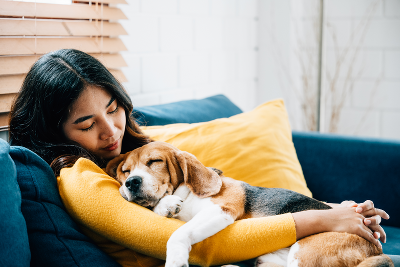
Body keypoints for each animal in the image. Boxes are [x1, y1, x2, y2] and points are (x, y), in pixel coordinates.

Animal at [106, 142, 394, 267]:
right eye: (125, 170)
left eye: (154, 161)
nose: (131, 182)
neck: (187, 194)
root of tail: (375, 249)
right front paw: (165, 205)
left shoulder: (221, 210)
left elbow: (178, 234)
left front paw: (176, 260)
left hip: (305, 254)